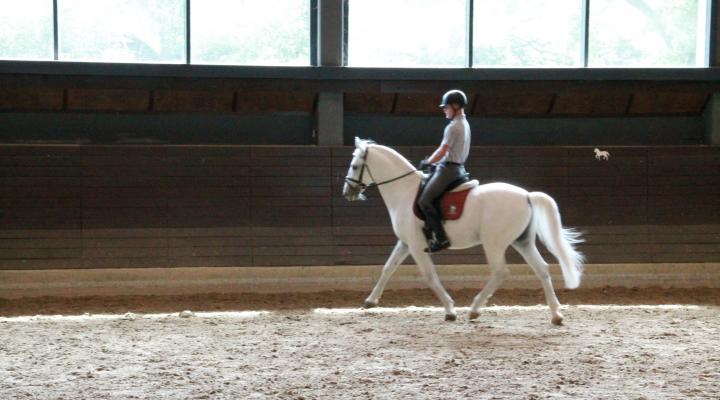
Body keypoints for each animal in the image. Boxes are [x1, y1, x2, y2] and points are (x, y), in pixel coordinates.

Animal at [344, 138, 584, 324]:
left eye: (355, 166)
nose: (348, 192)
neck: (404, 191)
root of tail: (526, 195)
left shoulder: (416, 246)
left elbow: (429, 276)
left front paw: (450, 310)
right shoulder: (404, 243)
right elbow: (388, 268)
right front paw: (370, 301)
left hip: (494, 243)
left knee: (500, 272)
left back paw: (474, 310)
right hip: (522, 242)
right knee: (542, 269)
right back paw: (556, 315)